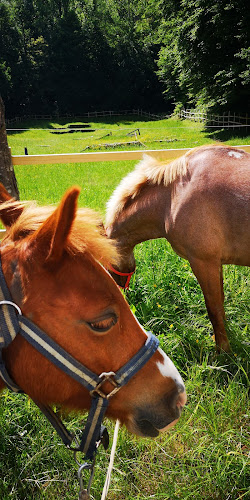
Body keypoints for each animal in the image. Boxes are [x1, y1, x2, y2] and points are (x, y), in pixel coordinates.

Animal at [105, 145, 250, 352]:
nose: (119, 290)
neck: (172, 196)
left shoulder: (203, 262)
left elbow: (213, 308)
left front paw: (223, 350)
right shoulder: (216, 262)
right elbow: (220, 302)